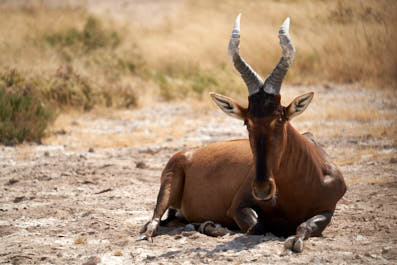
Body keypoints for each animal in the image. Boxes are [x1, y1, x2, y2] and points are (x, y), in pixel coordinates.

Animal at [138, 13, 344, 252]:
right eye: (247, 122)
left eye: (279, 118)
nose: (262, 189)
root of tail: (187, 154)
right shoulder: (238, 206)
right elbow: (256, 227)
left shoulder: (327, 210)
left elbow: (304, 227)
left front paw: (295, 241)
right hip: (168, 184)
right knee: (153, 222)